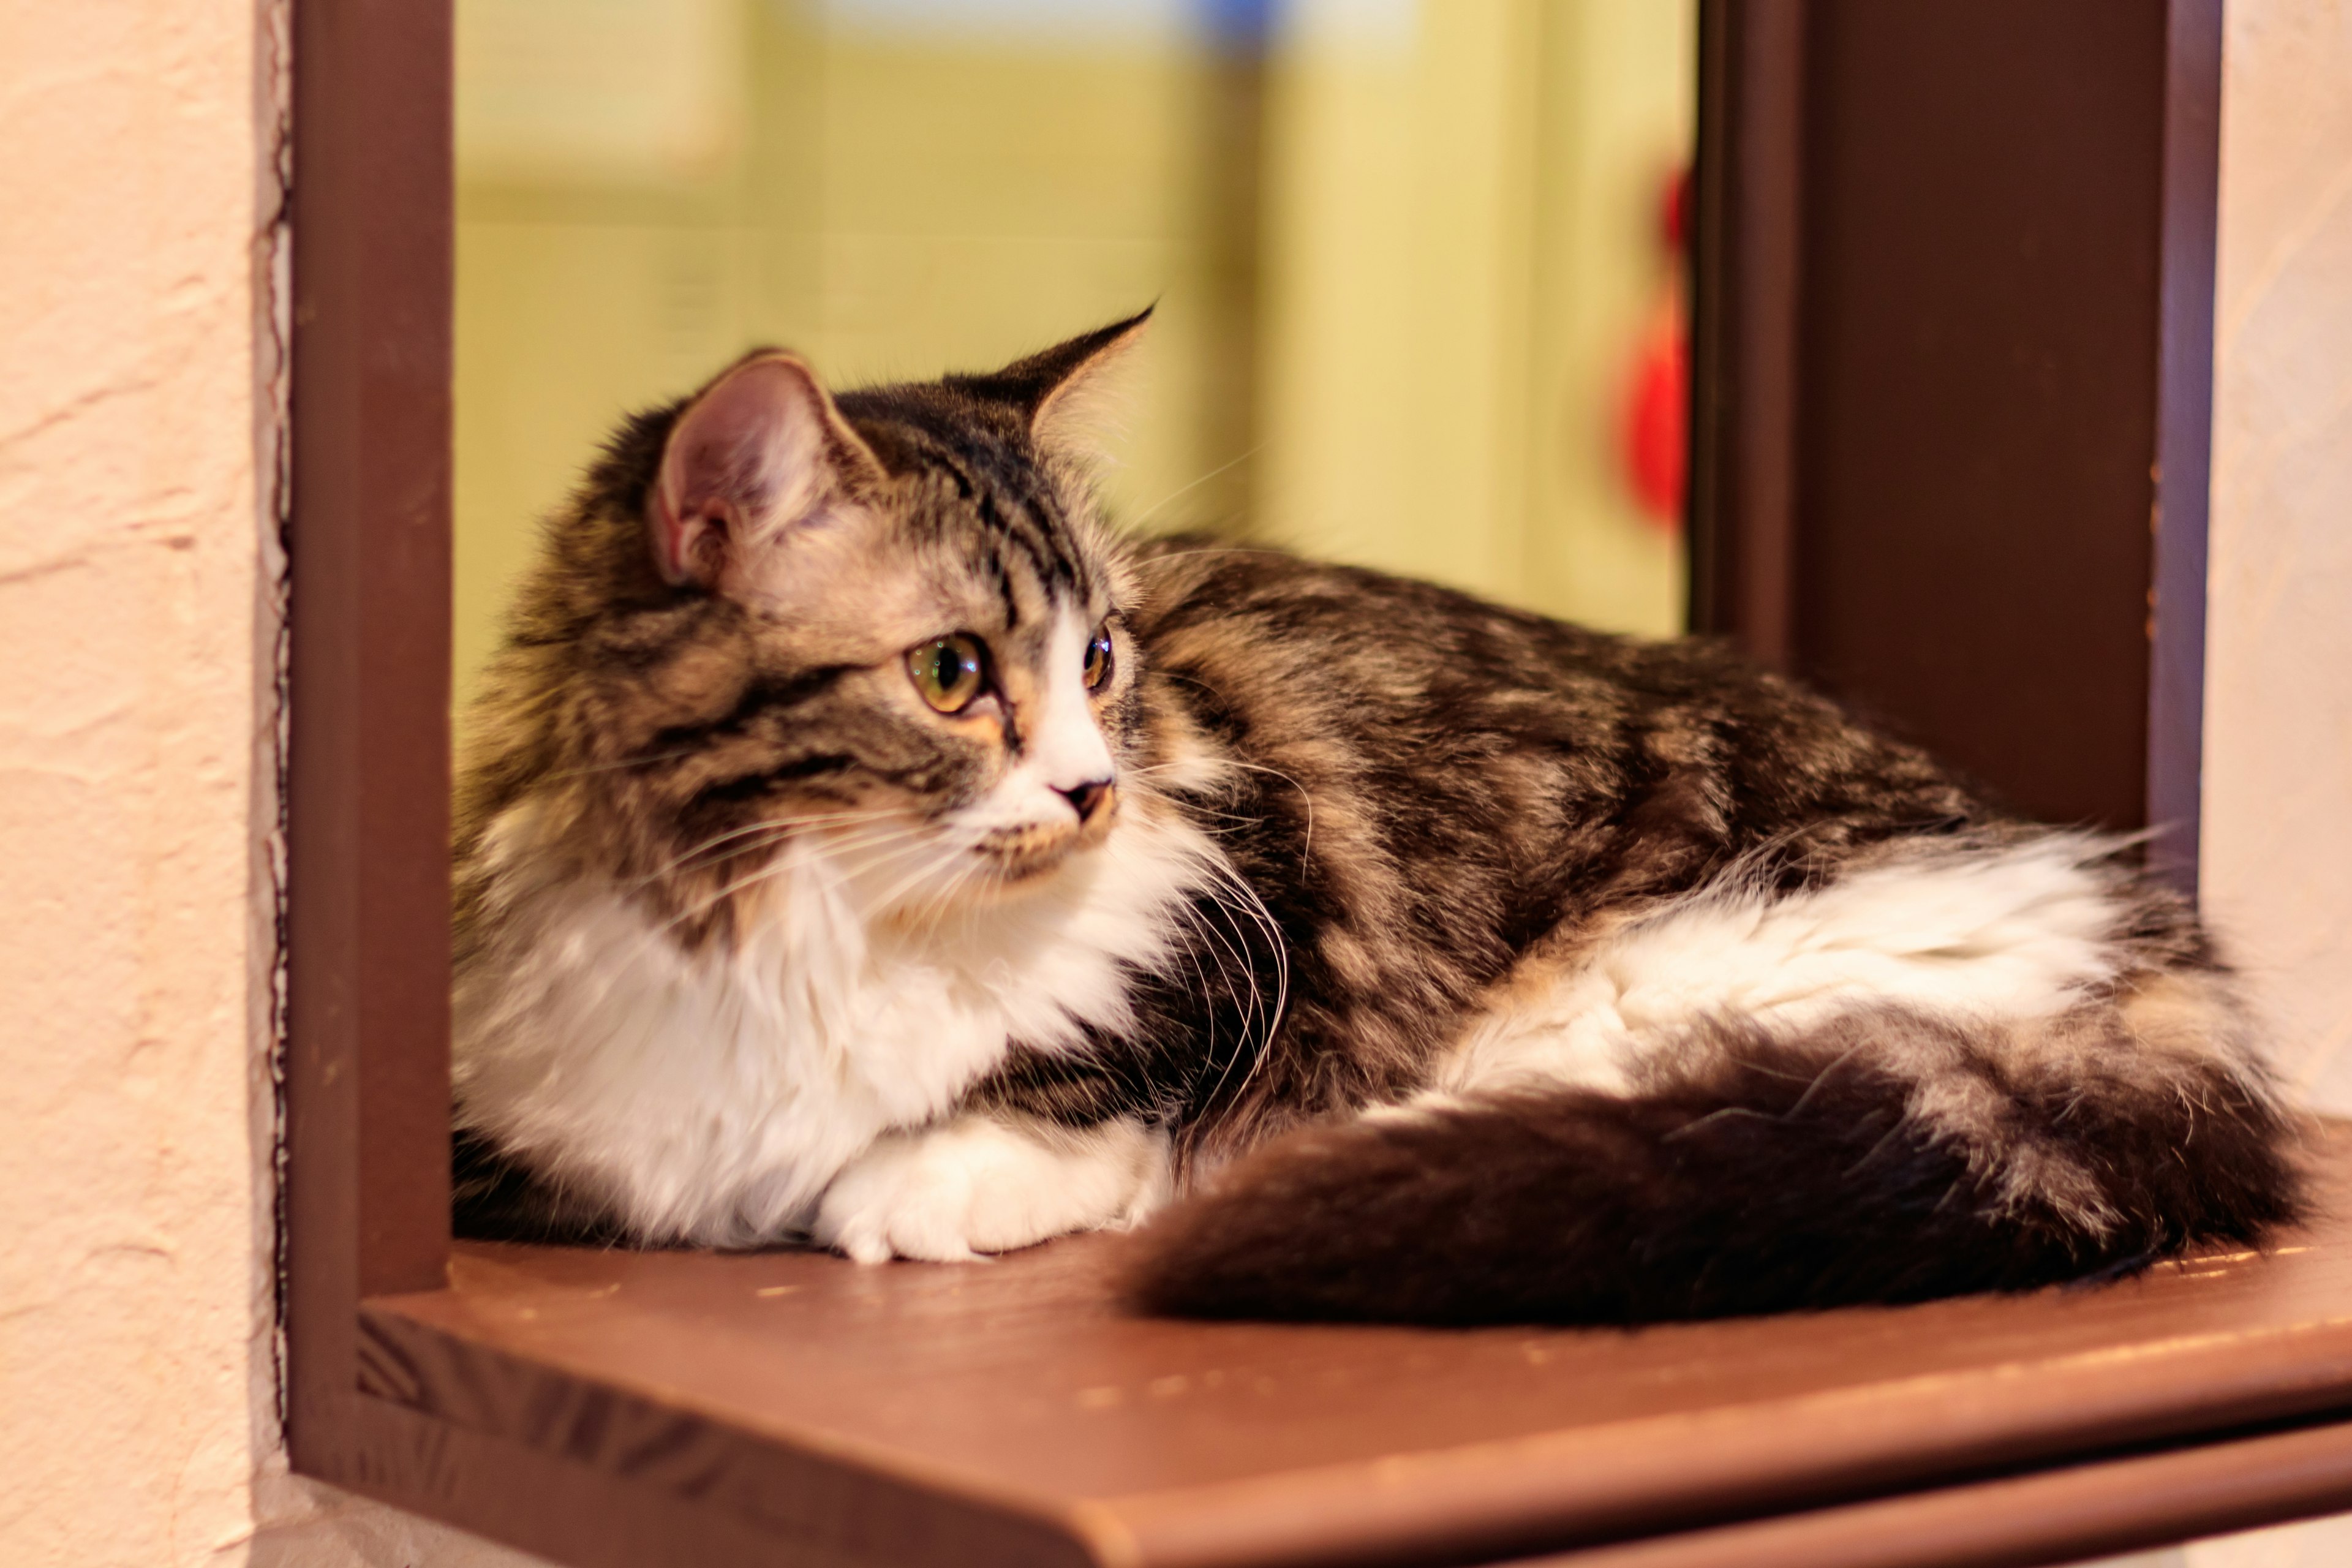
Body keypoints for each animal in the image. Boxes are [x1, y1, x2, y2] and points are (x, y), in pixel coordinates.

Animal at [454, 305, 2295, 1325]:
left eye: (1103, 658)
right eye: (957, 672)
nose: (1095, 785)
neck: (812, 930)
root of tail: (2155, 941)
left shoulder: (1244, 927)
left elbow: (1078, 1103)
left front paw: (924, 1179)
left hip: (1670, 983)